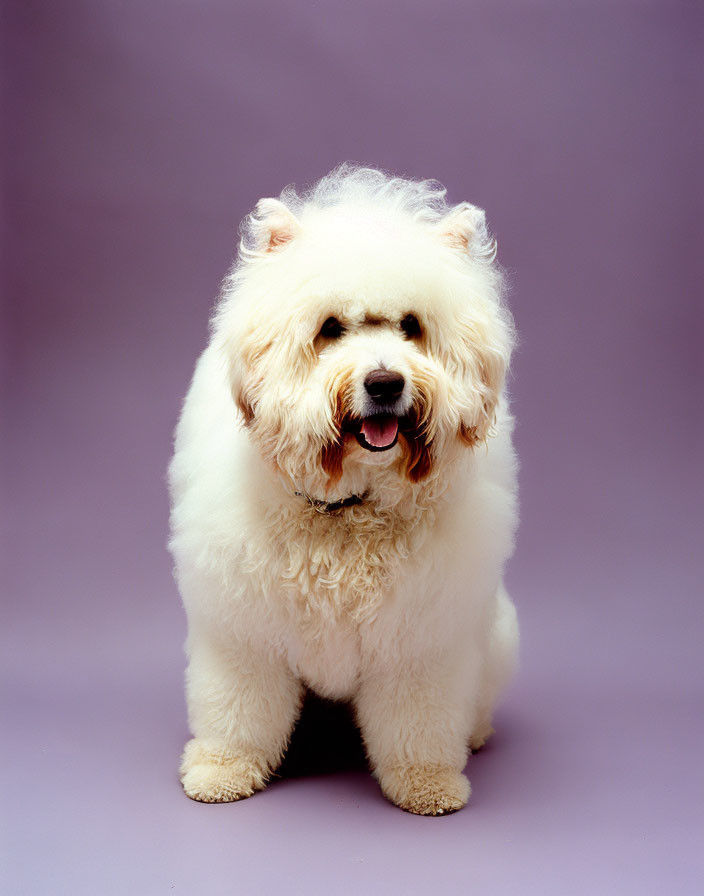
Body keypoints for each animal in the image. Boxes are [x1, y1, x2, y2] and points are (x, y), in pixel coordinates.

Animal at [168, 164, 520, 816]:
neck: (348, 511)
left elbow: (419, 722)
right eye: (330, 329)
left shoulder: (420, 642)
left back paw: (475, 734)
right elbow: (237, 711)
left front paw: (428, 784)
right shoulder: (242, 632)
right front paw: (221, 772)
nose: (384, 383)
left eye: (412, 327)